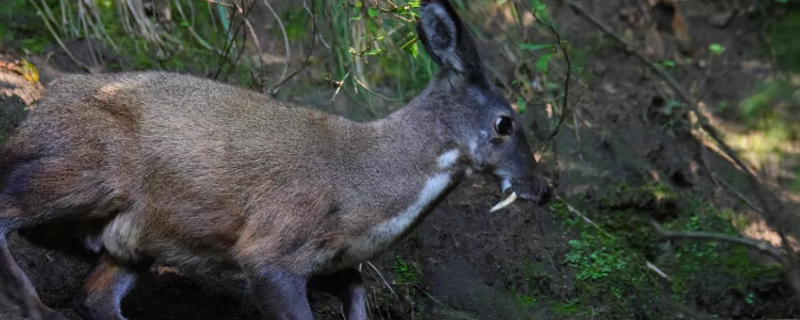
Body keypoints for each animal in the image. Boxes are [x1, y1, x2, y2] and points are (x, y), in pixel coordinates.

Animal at [0, 0, 552, 320]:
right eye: (505, 123)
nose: (542, 188)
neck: (363, 193)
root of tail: (40, 109)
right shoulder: (270, 246)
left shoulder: (330, 260)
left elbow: (357, 294)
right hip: (87, 168)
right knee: (8, 210)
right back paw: (33, 305)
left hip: (134, 235)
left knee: (95, 297)